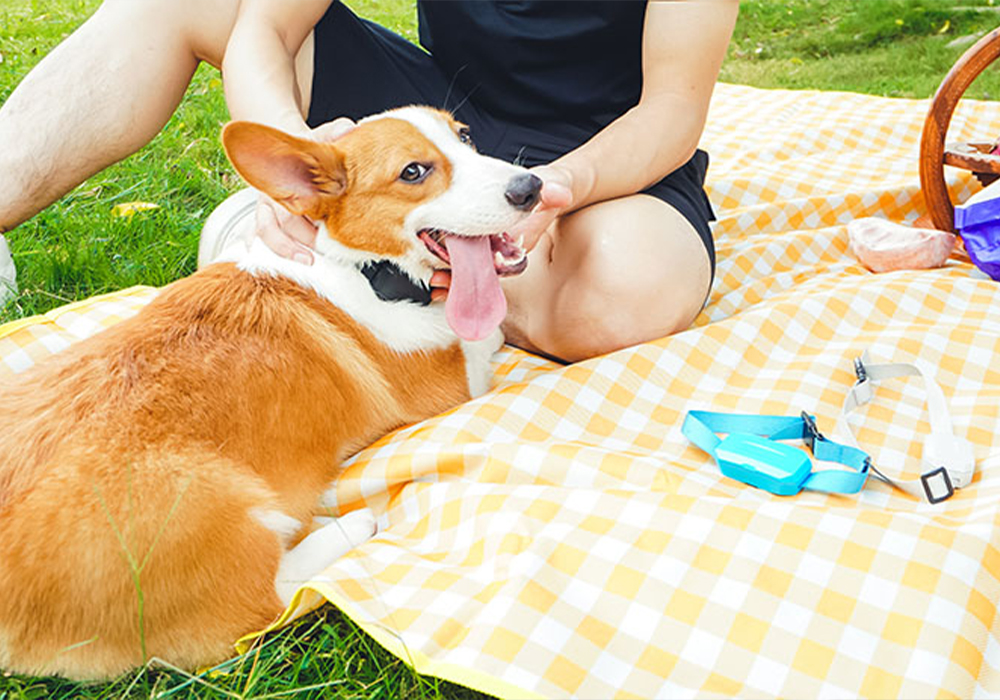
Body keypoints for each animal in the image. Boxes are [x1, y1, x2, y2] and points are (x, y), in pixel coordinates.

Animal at [0, 105, 540, 680]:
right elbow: (488, 336)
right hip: (222, 507)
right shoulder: (456, 380)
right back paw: (344, 525)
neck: (363, 269)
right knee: (267, 605)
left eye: (465, 136)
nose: (532, 187)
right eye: (413, 172)